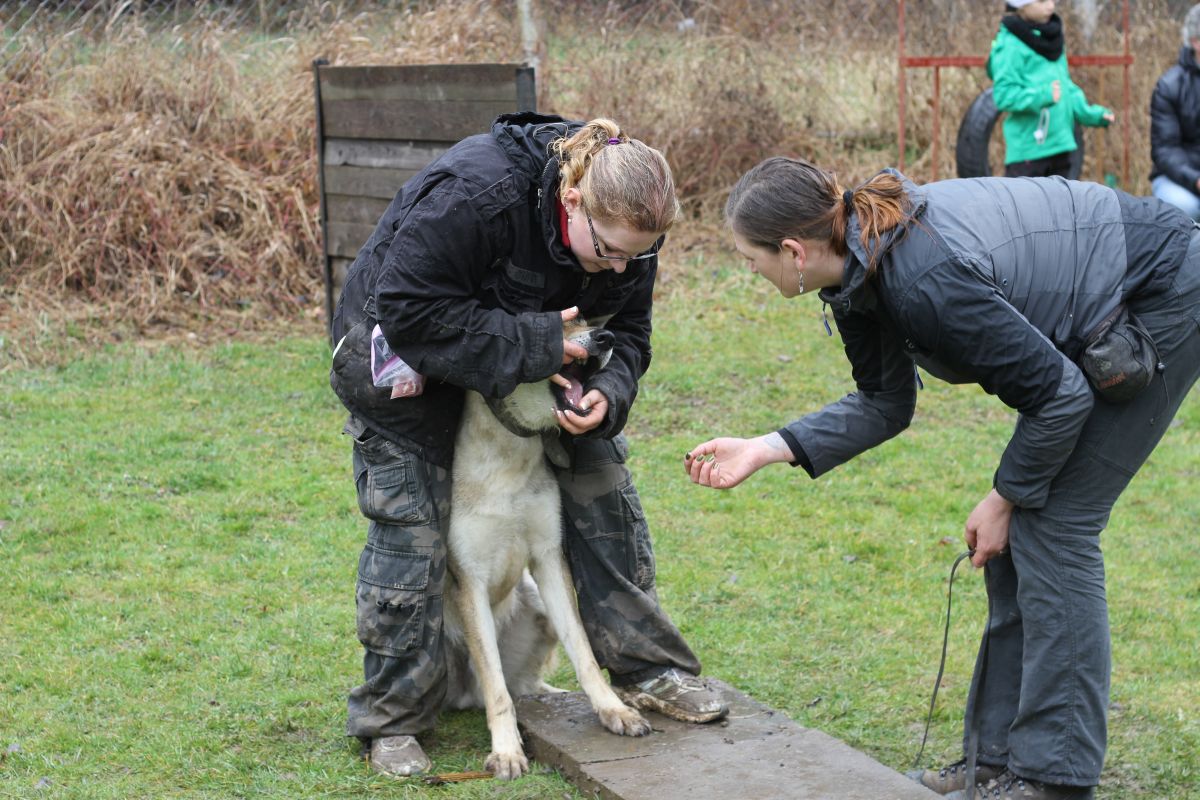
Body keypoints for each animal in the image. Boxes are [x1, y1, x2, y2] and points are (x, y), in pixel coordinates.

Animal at [439, 321, 648, 782]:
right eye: (561, 322)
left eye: (586, 317)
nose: (606, 337)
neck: (509, 458)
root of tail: (463, 696)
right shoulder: (470, 581)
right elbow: (496, 687)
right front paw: (506, 753)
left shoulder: (550, 558)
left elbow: (584, 652)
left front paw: (614, 710)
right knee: (493, 689)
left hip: (535, 600)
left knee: (525, 686)